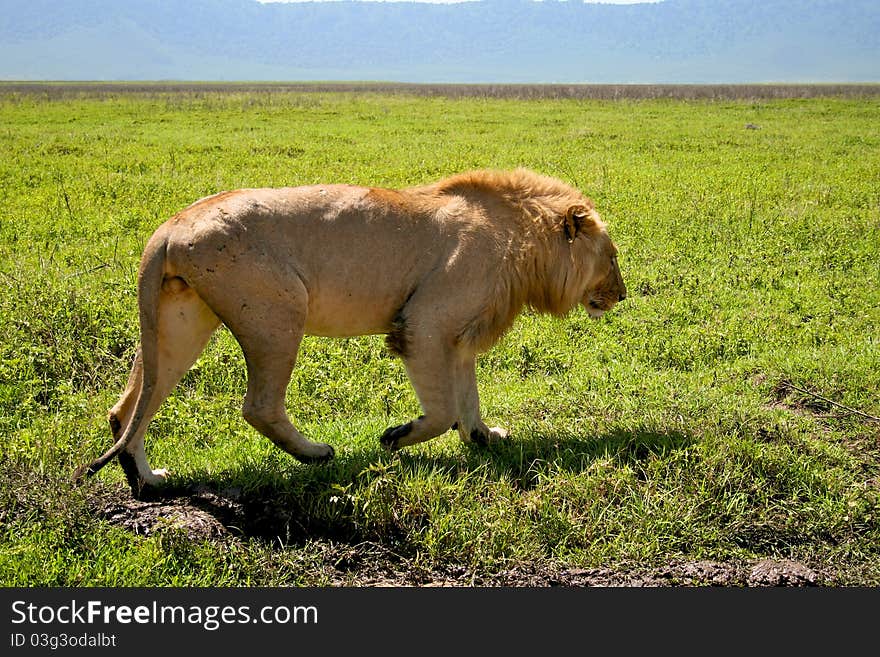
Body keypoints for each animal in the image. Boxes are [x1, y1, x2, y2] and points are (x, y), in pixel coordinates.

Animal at [74, 169, 624, 498]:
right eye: (612, 256)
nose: (622, 295)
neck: (523, 241)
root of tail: (170, 226)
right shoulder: (425, 322)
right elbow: (444, 409)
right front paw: (396, 437)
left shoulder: (460, 333)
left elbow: (468, 399)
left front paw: (485, 438)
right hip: (278, 310)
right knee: (258, 406)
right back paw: (316, 454)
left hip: (181, 321)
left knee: (128, 408)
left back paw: (146, 480)